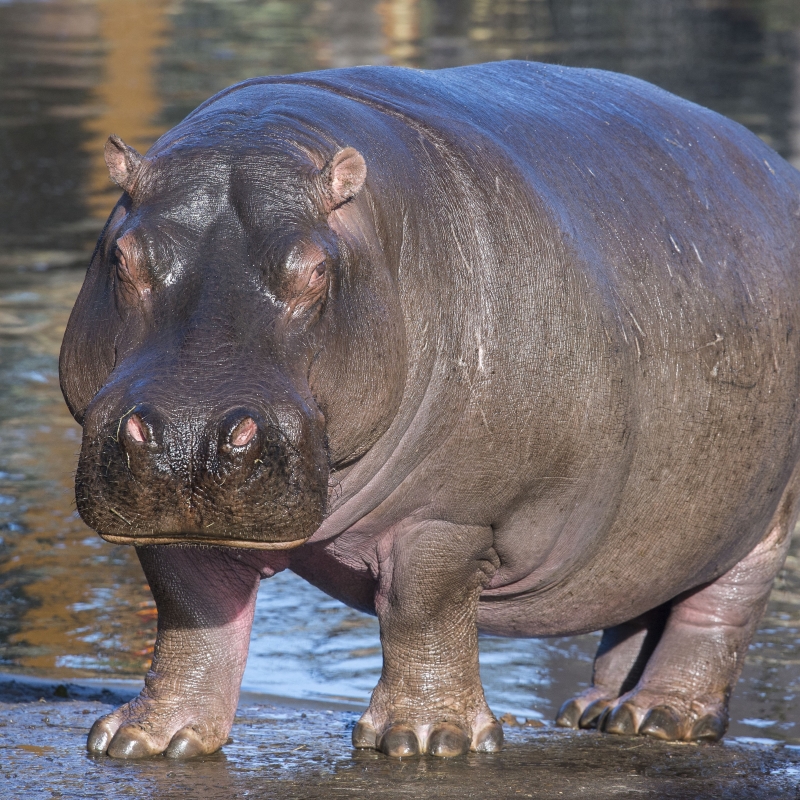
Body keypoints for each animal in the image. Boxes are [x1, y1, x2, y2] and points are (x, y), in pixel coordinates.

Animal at [60, 60, 800, 760]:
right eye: (122, 255)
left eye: (317, 269)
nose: (188, 434)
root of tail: (774, 166)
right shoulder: (171, 523)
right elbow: (190, 612)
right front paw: (145, 740)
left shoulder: (451, 511)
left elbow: (423, 610)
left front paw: (426, 739)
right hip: (661, 519)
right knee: (640, 596)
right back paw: (595, 711)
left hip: (765, 513)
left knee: (719, 607)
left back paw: (662, 719)